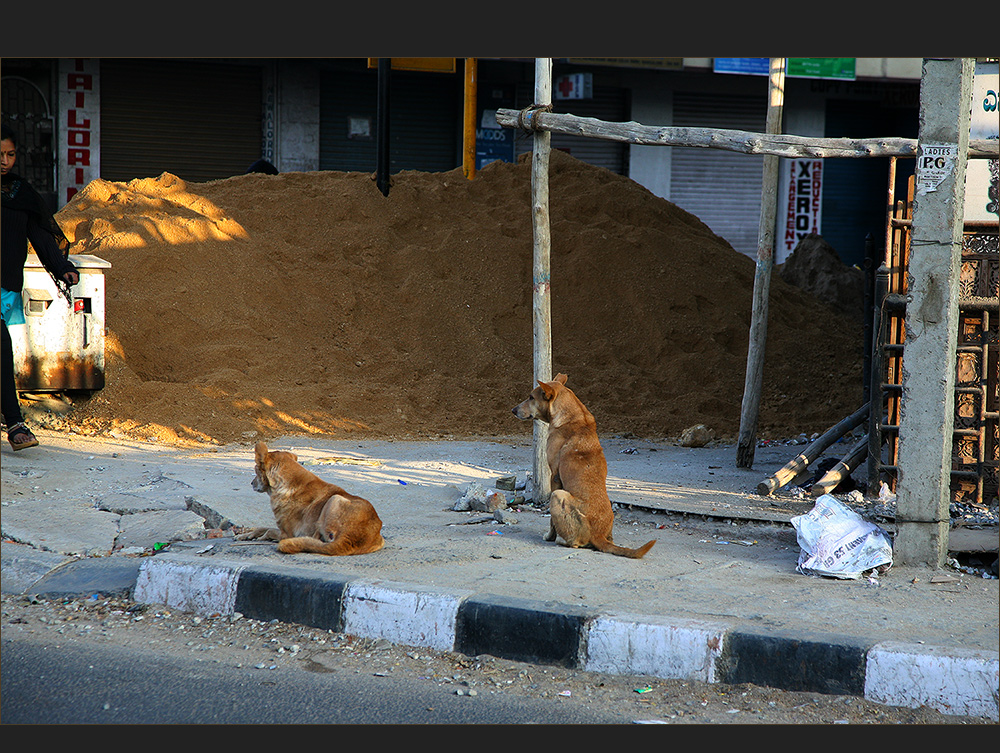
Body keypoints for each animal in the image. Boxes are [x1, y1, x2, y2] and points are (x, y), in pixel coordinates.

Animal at [236, 440, 384, 552]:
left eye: (256, 469)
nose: (251, 483)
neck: (288, 483)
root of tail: (349, 540)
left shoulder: (286, 534)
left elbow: (269, 531)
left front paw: (259, 537)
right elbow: (263, 528)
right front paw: (246, 535)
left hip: (334, 499)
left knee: (317, 538)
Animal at [516, 372, 656, 560]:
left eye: (531, 397)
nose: (513, 410)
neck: (574, 416)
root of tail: (598, 534)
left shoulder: (554, 476)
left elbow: (551, 520)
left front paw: (549, 536)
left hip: (558, 495)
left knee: (573, 542)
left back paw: (561, 540)